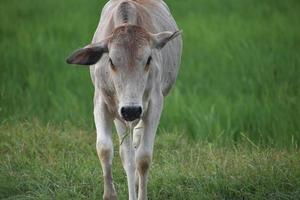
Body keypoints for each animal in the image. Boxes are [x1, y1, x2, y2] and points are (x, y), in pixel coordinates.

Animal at [66, 0, 182, 200]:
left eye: (148, 59)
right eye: (111, 61)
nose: (131, 110)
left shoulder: (155, 104)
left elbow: (143, 158)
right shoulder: (102, 102)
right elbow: (105, 149)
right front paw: (109, 195)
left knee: (136, 146)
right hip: (119, 115)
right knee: (127, 154)